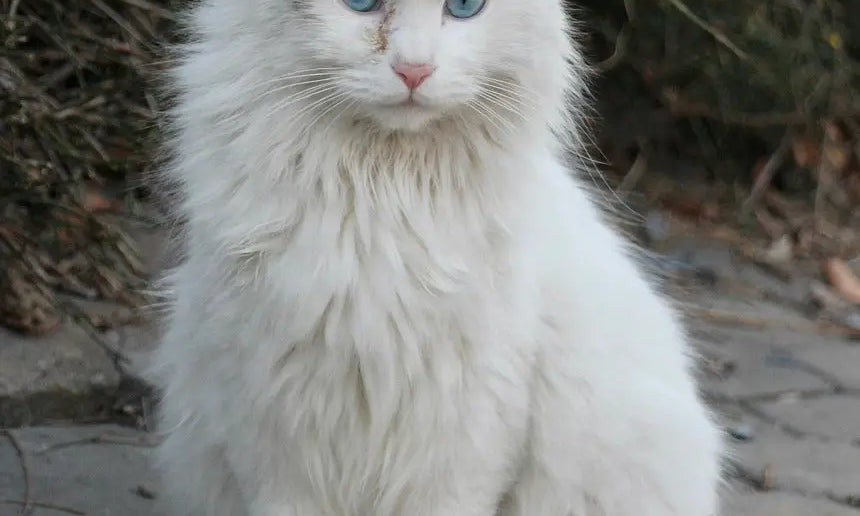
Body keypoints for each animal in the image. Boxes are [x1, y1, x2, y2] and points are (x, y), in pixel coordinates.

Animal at [149, 0, 724, 512]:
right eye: (361, 3)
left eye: (464, 7)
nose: (414, 69)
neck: (381, 198)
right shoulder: (274, 428)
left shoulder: (464, 432)